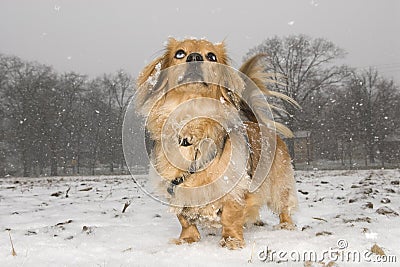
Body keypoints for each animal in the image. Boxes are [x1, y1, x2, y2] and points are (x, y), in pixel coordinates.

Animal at [136, 37, 298, 251]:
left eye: (211, 56)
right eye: (179, 53)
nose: (194, 57)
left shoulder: (233, 187)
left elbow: (231, 215)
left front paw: (231, 240)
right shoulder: (175, 188)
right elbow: (184, 219)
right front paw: (187, 239)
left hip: (279, 185)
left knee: (284, 205)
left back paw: (286, 225)